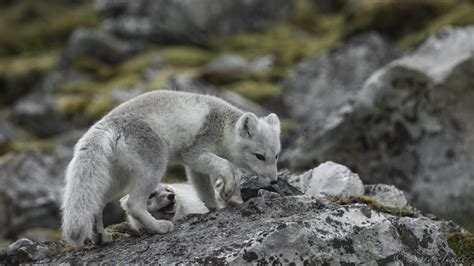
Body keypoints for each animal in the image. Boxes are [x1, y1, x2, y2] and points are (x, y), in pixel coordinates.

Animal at [61, 90, 280, 246]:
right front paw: (228, 189)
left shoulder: (193, 166)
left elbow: (204, 191)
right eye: (259, 156)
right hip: (154, 166)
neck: (224, 127)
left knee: (96, 205)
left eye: (276, 155)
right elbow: (227, 166)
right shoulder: (193, 153)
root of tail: (105, 124)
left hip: (117, 179)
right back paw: (158, 227)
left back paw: (101, 237)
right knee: (133, 204)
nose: (274, 180)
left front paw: (217, 207)